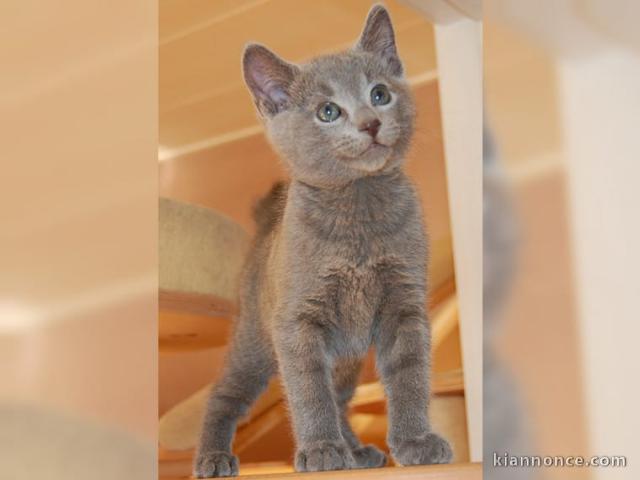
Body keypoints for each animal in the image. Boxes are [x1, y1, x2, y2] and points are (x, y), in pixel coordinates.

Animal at [194, 5, 450, 478]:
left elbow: (410, 374)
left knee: (340, 395)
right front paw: (320, 449)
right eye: (328, 112)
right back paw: (213, 456)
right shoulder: (297, 320)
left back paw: (357, 450)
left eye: (380, 94)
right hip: (255, 341)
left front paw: (415, 440)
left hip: (347, 358)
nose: (371, 123)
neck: (358, 209)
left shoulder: (404, 304)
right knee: (224, 394)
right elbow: (310, 389)